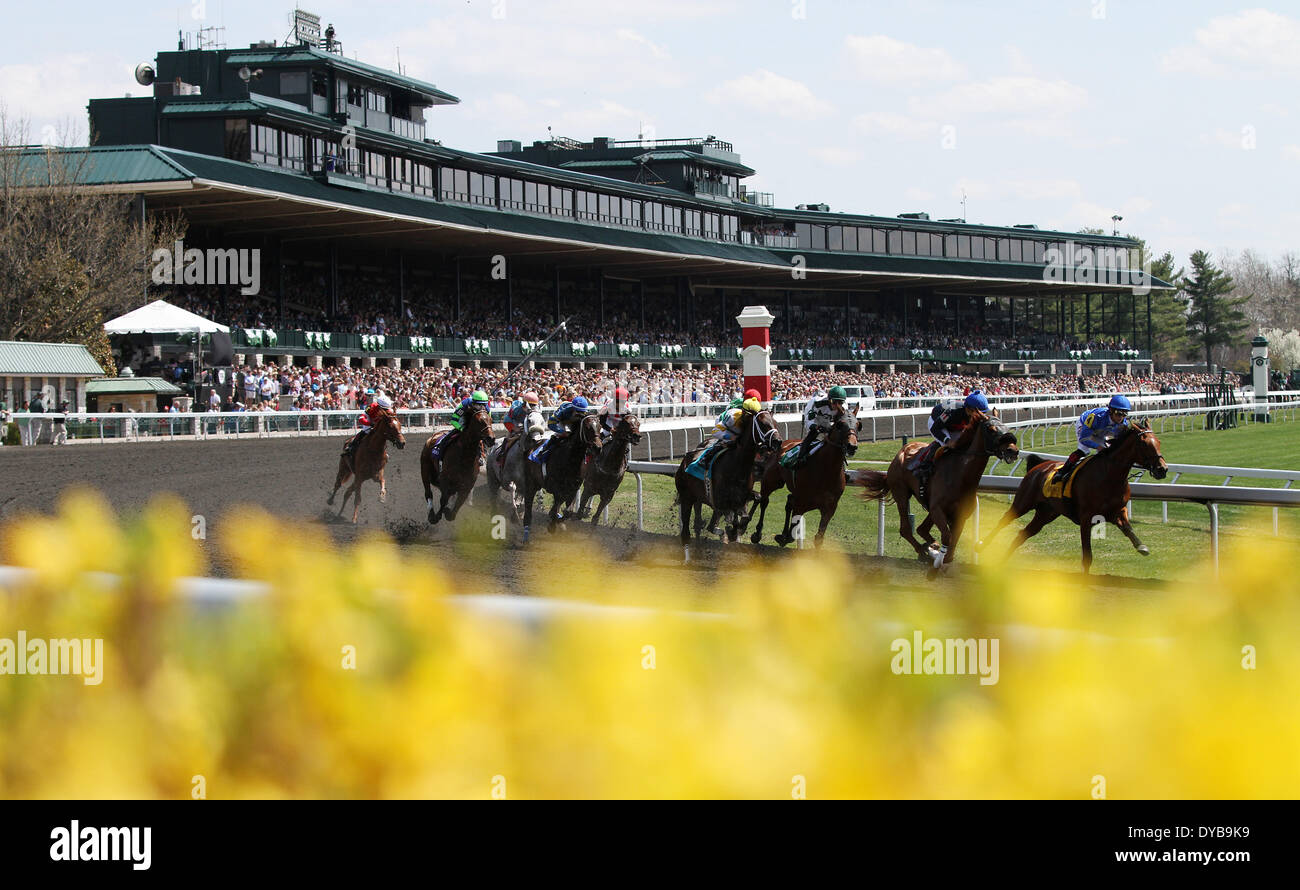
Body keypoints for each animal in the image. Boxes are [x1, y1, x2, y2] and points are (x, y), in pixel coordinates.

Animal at [520, 410, 600, 540]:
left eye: (600, 426)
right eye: (588, 427)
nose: (598, 447)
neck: (570, 459)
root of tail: (533, 446)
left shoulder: (572, 489)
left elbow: (567, 512)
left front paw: (559, 522)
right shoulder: (558, 489)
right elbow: (555, 510)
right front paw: (552, 526)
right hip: (531, 483)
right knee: (528, 507)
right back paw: (526, 533)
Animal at [676, 405, 774, 558]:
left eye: (774, 422)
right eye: (763, 424)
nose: (778, 440)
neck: (738, 463)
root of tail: (683, 463)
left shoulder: (743, 495)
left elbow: (758, 498)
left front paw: (748, 530)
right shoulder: (722, 500)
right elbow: (729, 517)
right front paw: (733, 531)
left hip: (698, 499)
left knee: (701, 524)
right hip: (687, 498)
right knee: (686, 533)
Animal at [769, 410, 863, 548]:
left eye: (858, 425)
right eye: (840, 424)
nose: (852, 446)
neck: (827, 470)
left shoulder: (830, 507)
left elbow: (819, 537)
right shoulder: (801, 502)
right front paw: (785, 537)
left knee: (789, 500)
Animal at [857, 413, 1019, 571]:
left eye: (1006, 427)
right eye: (991, 429)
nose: (1013, 451)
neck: (961, 475)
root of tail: (902, 451)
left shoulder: (960, 514)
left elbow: (952, 544)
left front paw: (939, 554)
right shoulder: (937, 508)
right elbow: (947, 536)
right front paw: (936, 558)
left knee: (921, 529)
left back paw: (930, 546)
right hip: (902, 493)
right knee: (906, 529)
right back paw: (923, 551)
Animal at [982, 418, 1170, 576]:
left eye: (1159, 442)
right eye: (1145, 444)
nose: (1162, 469)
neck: (1109, 475)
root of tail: (1040, 466)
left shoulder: (1118, 511)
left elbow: (1129, 529)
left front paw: (1142, 547)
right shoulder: (1087, 517)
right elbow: (1087, 555)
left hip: (1047, 513)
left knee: (1023, 533)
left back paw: (1002, 562)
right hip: (1023, 503)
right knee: (1004, 520)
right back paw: (983, 545)